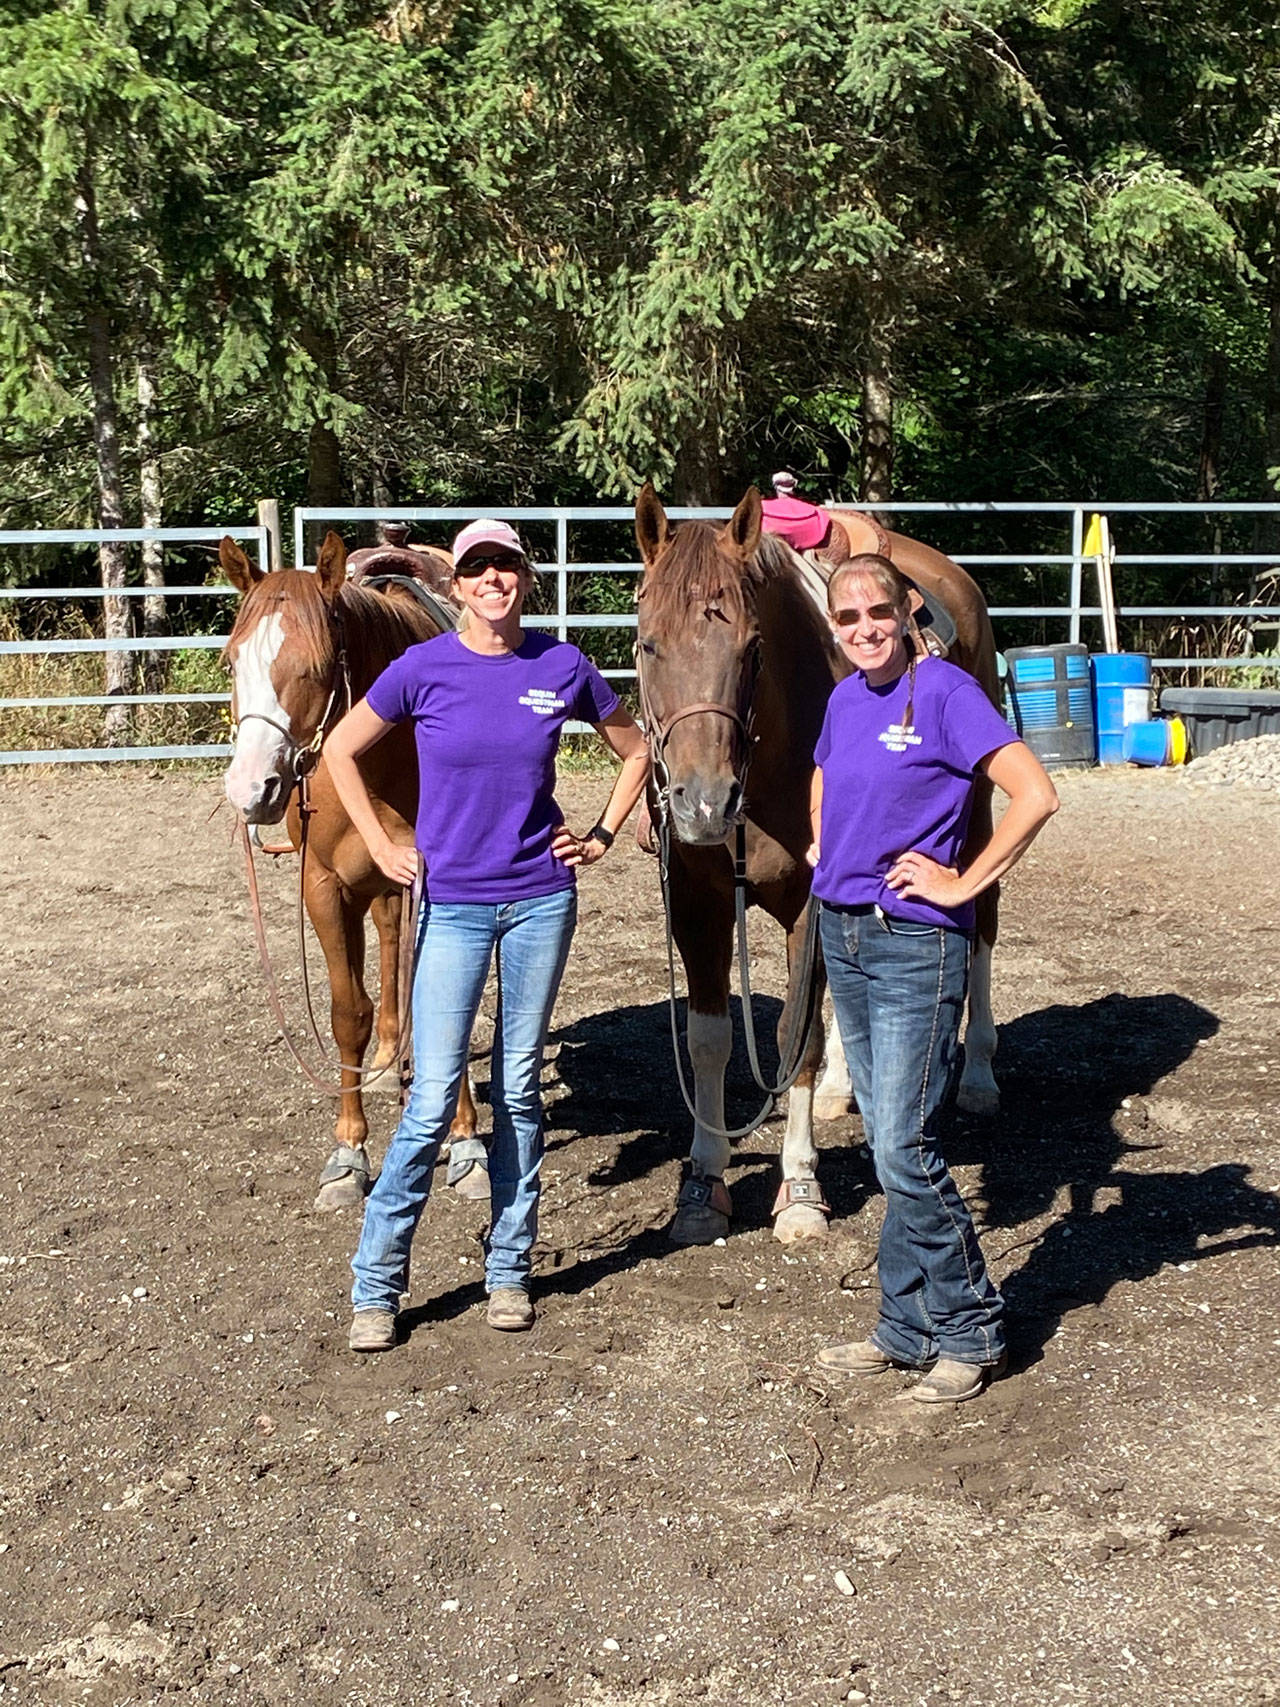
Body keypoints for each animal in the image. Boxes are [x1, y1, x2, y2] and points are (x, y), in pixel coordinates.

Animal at [220, 532, 481, 1215]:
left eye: (315, 666)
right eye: (232, 663)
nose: (251, 789)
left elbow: (447, 1003)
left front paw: (467, 1142)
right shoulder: (324, 887)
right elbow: (347, 1012)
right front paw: (348, 1151)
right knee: (387, 947)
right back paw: (390, 1058)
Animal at [638, 481, 1010, 1242]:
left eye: (752, 647)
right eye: (649, 643)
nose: (705, 802)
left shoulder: (807, 898)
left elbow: (794, 1037)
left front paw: (801, 1190)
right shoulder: (695, 898)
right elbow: (709, 1040)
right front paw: (703, 1184)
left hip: (978, 816)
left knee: (980, 919)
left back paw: (980, 1076)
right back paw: (847, 1086)